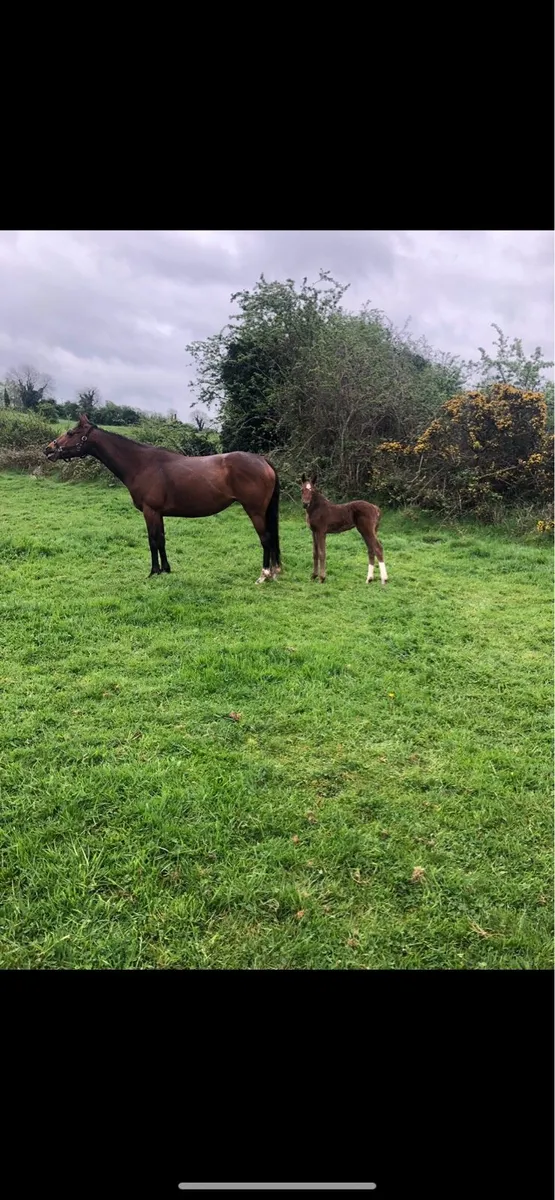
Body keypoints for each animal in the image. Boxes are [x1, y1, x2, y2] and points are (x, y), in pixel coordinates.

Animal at [45, 414, 281, 584]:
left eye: (71, 432)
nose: (48, 450)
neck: (141, 464)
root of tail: (262, 460)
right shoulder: (158, 513)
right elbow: (162, 539)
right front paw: (166, 569)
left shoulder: (150, 511)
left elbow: (152, 540)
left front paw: (153, 572)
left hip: (255, 511)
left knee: (266, 539)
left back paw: (264, 575)